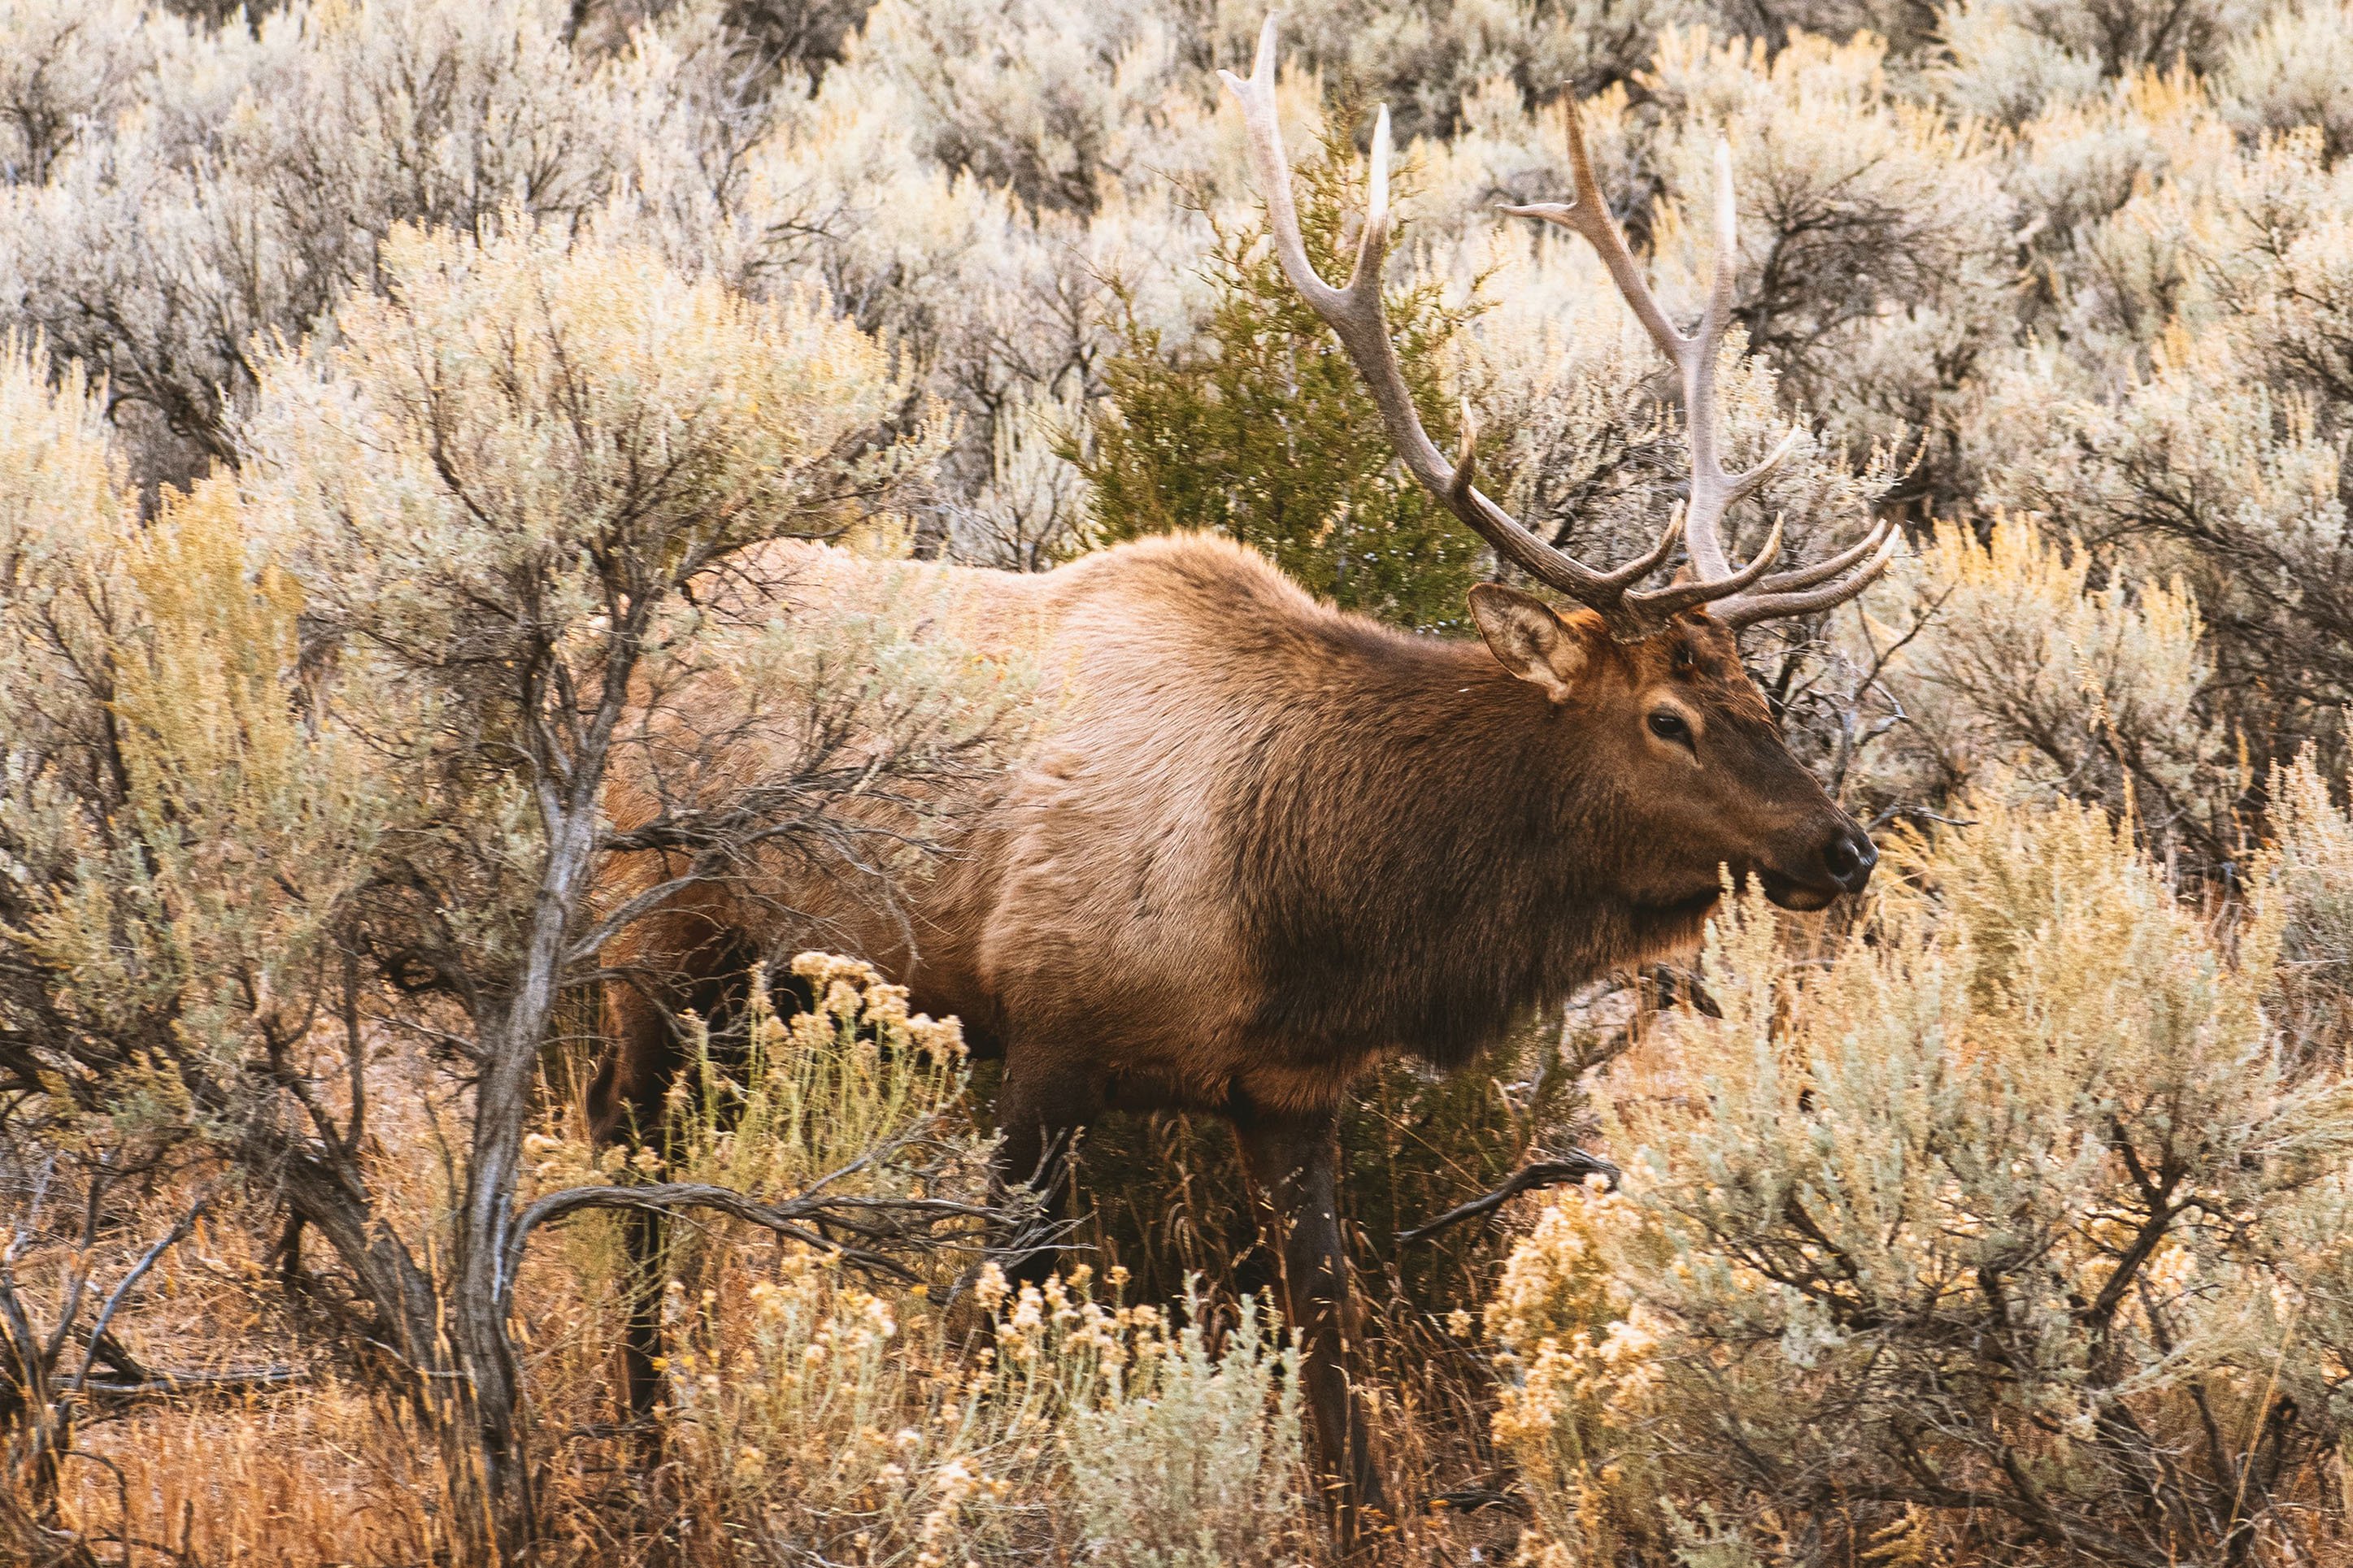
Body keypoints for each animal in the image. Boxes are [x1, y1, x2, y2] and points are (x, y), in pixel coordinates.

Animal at [588, 21, 1891, 1542]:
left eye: (1760, 695)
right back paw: (643, 1445)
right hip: (656, 944)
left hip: (753, 992)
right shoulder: (1042, 1026)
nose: (1839, 847)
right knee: (630, 1167)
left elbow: (1325, 1330)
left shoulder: (1285, 1085)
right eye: (1668, 717)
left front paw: (1353, 1515)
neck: (1304, 909)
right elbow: (994, 1303)